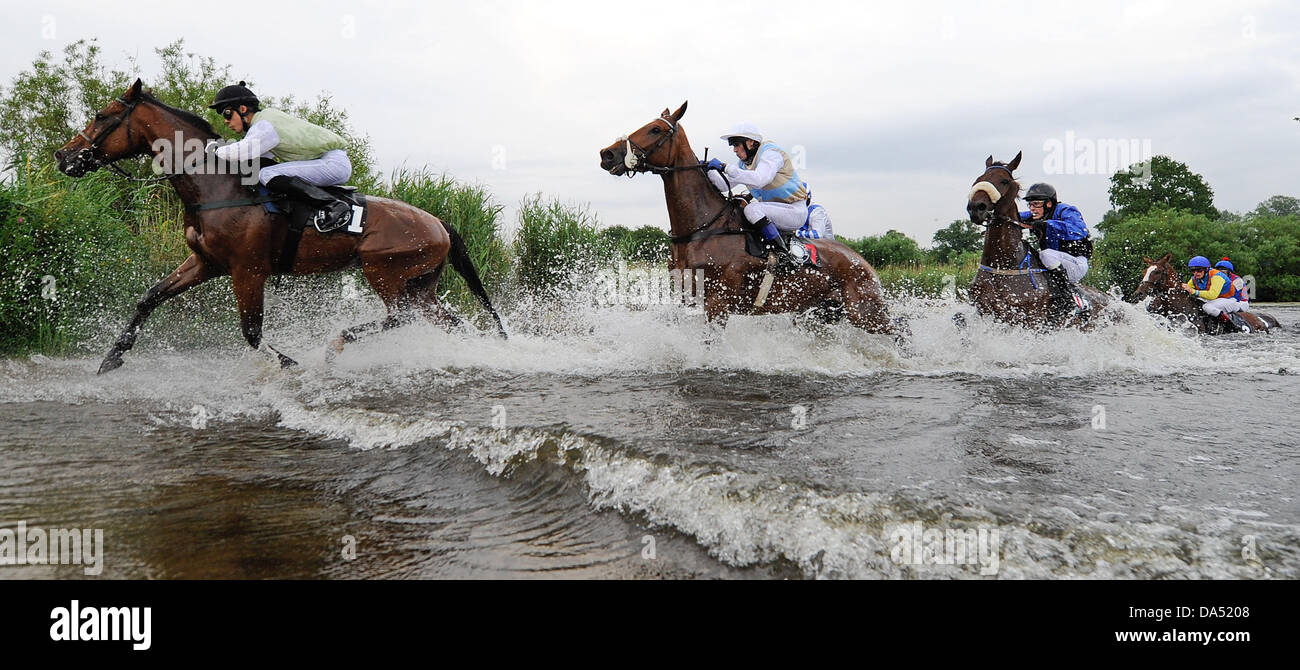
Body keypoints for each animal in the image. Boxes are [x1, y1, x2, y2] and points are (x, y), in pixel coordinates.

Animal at [54, 79, 506, 374]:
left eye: (101, 116)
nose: (64, 156)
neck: (214, 185)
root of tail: (440, 222)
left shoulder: (247, 270)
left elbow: (252, 332)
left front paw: (290, 362)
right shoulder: (206, 263)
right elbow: (149, 298)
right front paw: (112, 358)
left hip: (387, 274)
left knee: (401, 318)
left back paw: (337, 342)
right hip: (418, 283)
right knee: (443, 319)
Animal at [597, 102, 893, 334]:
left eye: (655, 129)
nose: (607, 154)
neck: (702, 228)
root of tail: (863, 261)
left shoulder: (718, 304)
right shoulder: (685, 295)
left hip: (866, 311)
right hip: (823, 313)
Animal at [965, 152, 1110, 328]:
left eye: (1004, 181)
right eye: (978, 179)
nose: (976, 207)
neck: (1003, 265)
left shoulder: (1031, 320)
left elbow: (1076, 226)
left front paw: (1040, 224)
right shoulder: (986, 313)